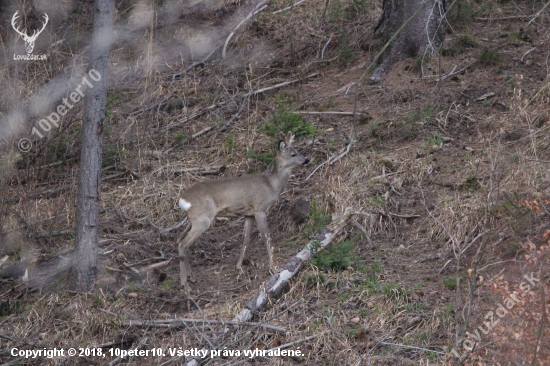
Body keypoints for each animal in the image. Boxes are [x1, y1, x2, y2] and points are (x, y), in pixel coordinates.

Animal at [178, 132, 310, 294]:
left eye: (297, 150)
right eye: (293, 154)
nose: (306, 160)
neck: (272, 185)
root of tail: (182, 199)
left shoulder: (249, 213)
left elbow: (245, 238)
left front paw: (239, 267)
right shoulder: (260, 209)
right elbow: (266, 238)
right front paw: (274, 267)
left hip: (192, 220)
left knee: (180, 240)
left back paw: (191, 277)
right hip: (202, 219)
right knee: (183, 244)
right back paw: (185, 284)